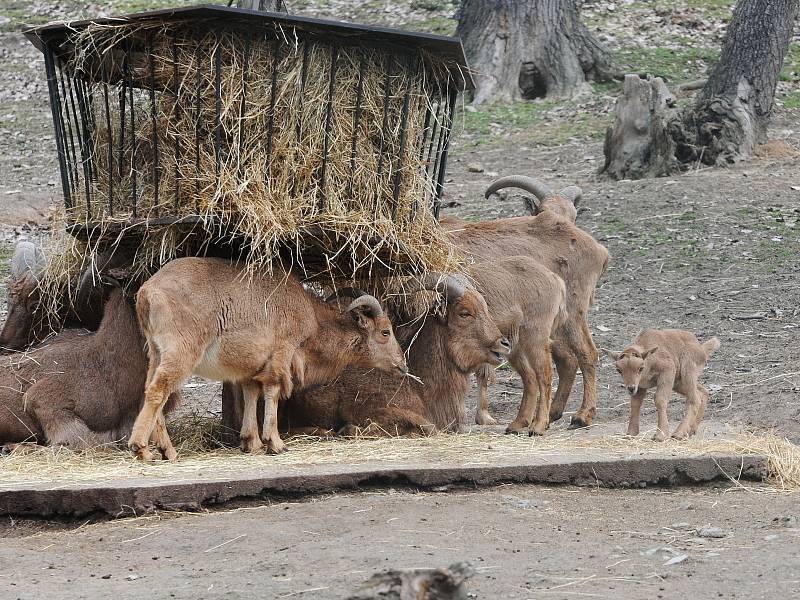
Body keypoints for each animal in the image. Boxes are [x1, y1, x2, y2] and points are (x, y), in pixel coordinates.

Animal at [282, 274, 506, 434]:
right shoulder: (371, 408)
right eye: (464, 313)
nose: (503, 344)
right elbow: (427, 427)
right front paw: (349, 429)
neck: (417, 383)